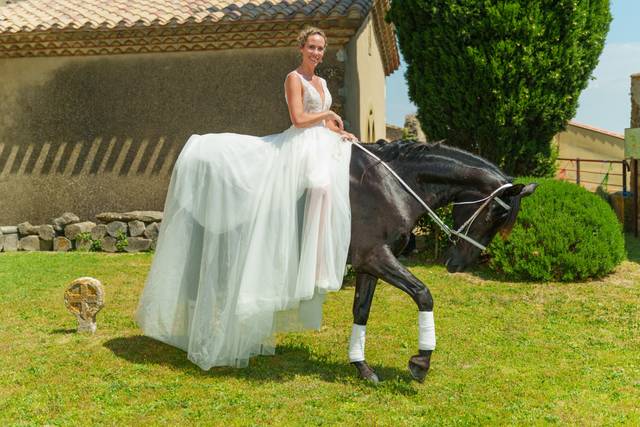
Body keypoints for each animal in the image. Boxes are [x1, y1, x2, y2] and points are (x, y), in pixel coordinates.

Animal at [346, 139, 537, 383]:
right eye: (493, 213)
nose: (460, 264)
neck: (384, 185)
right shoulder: (373, 256)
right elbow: (423, 294)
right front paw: (421, 362)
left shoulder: (367, 264)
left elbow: (361, 310)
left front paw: (362, 367)